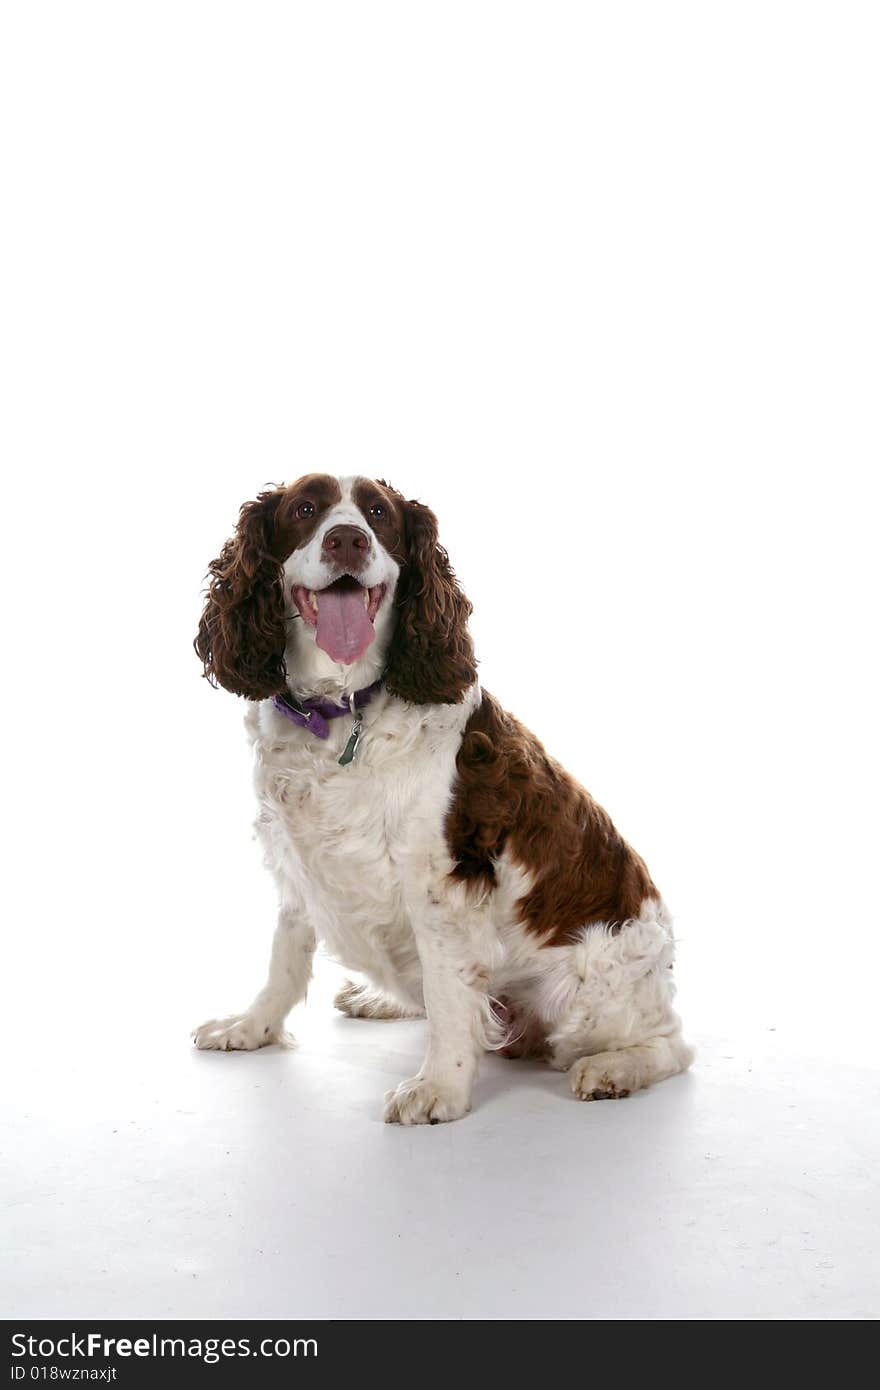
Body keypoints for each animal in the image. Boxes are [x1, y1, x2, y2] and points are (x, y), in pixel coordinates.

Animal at [193, 472, 692, 1123]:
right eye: (304, 509)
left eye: (379, 515)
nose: (348, 540)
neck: (341, 712)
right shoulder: (297, 860)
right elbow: (285, 957)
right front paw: (251, 1028)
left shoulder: (441, 884)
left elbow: (451, 993)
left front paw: (440, 1089)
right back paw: (380, 1000)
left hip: (591, 993)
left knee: (671, 1044)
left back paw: (614, 1068)